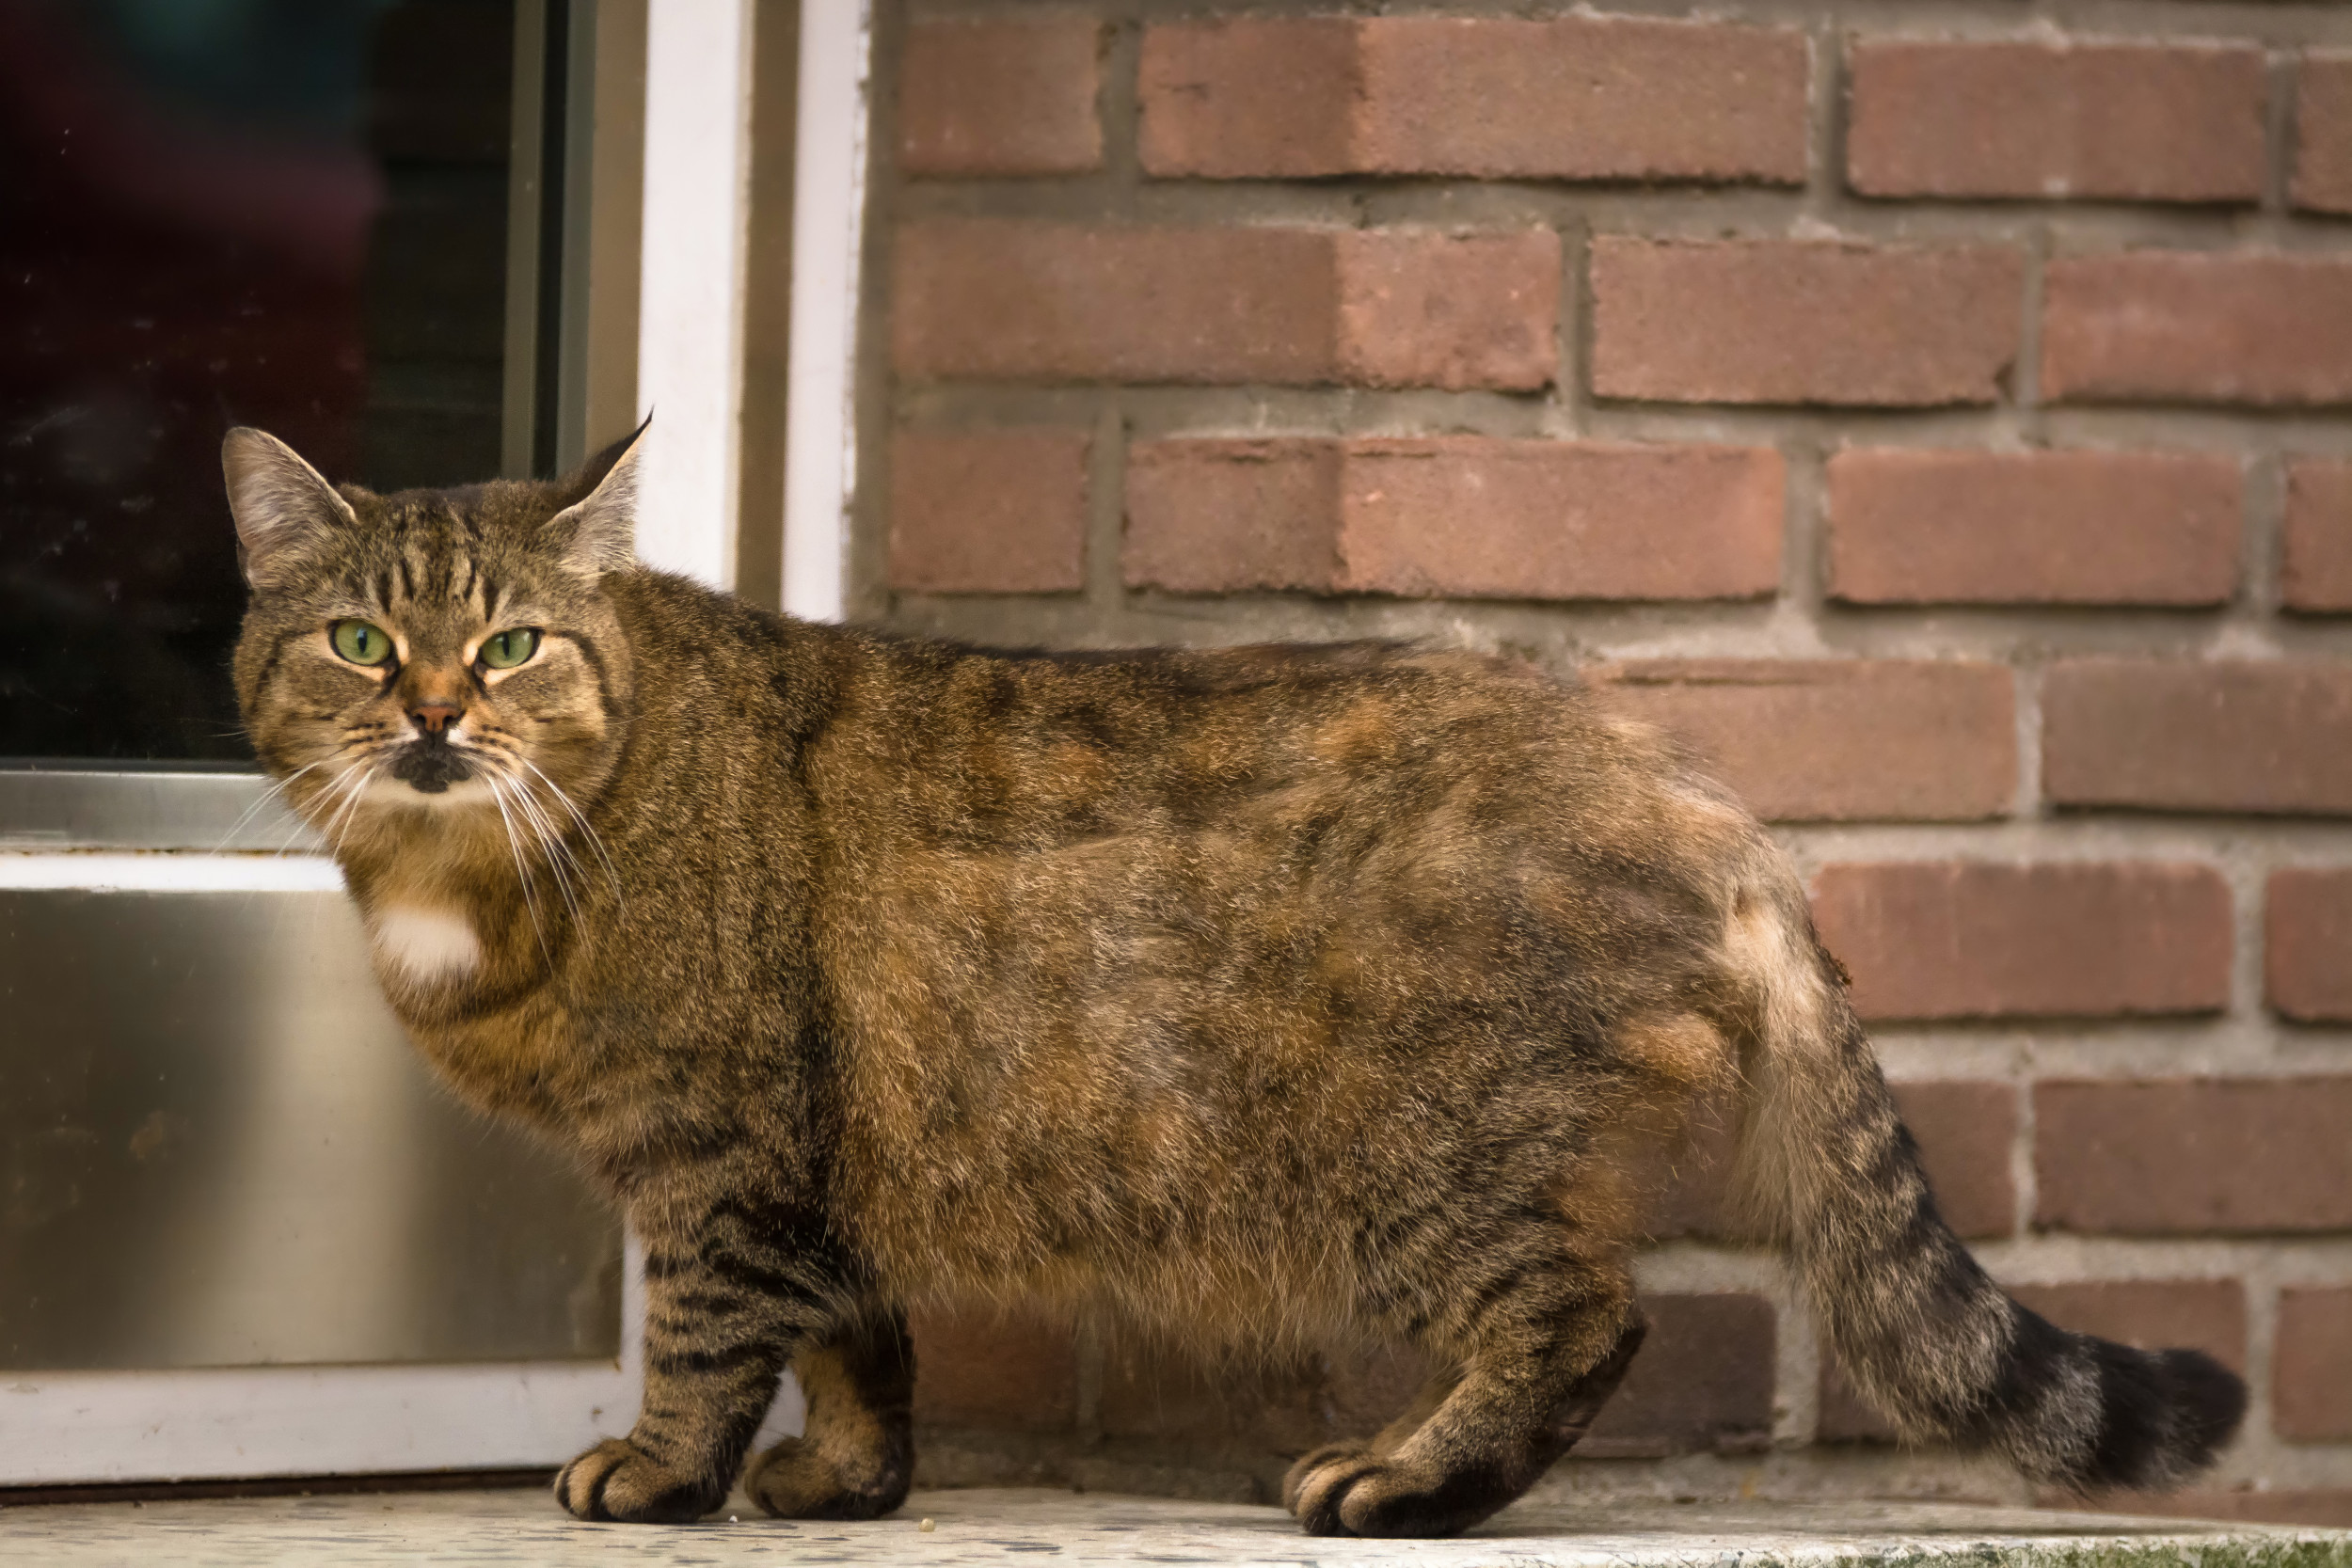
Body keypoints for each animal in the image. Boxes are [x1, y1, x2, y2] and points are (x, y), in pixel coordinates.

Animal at [229, 425, 2249, 1532]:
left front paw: (660, 1475)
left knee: (1580, 1318)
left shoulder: (723, 1155)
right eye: (359, 642)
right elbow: (862, 1338)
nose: (435, 712)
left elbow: (720, 1336)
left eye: (510, 643)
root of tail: (1689, 788)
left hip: (1426, 1158)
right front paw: (850, 1482)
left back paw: (1408, 1482)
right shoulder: (830, 1157)